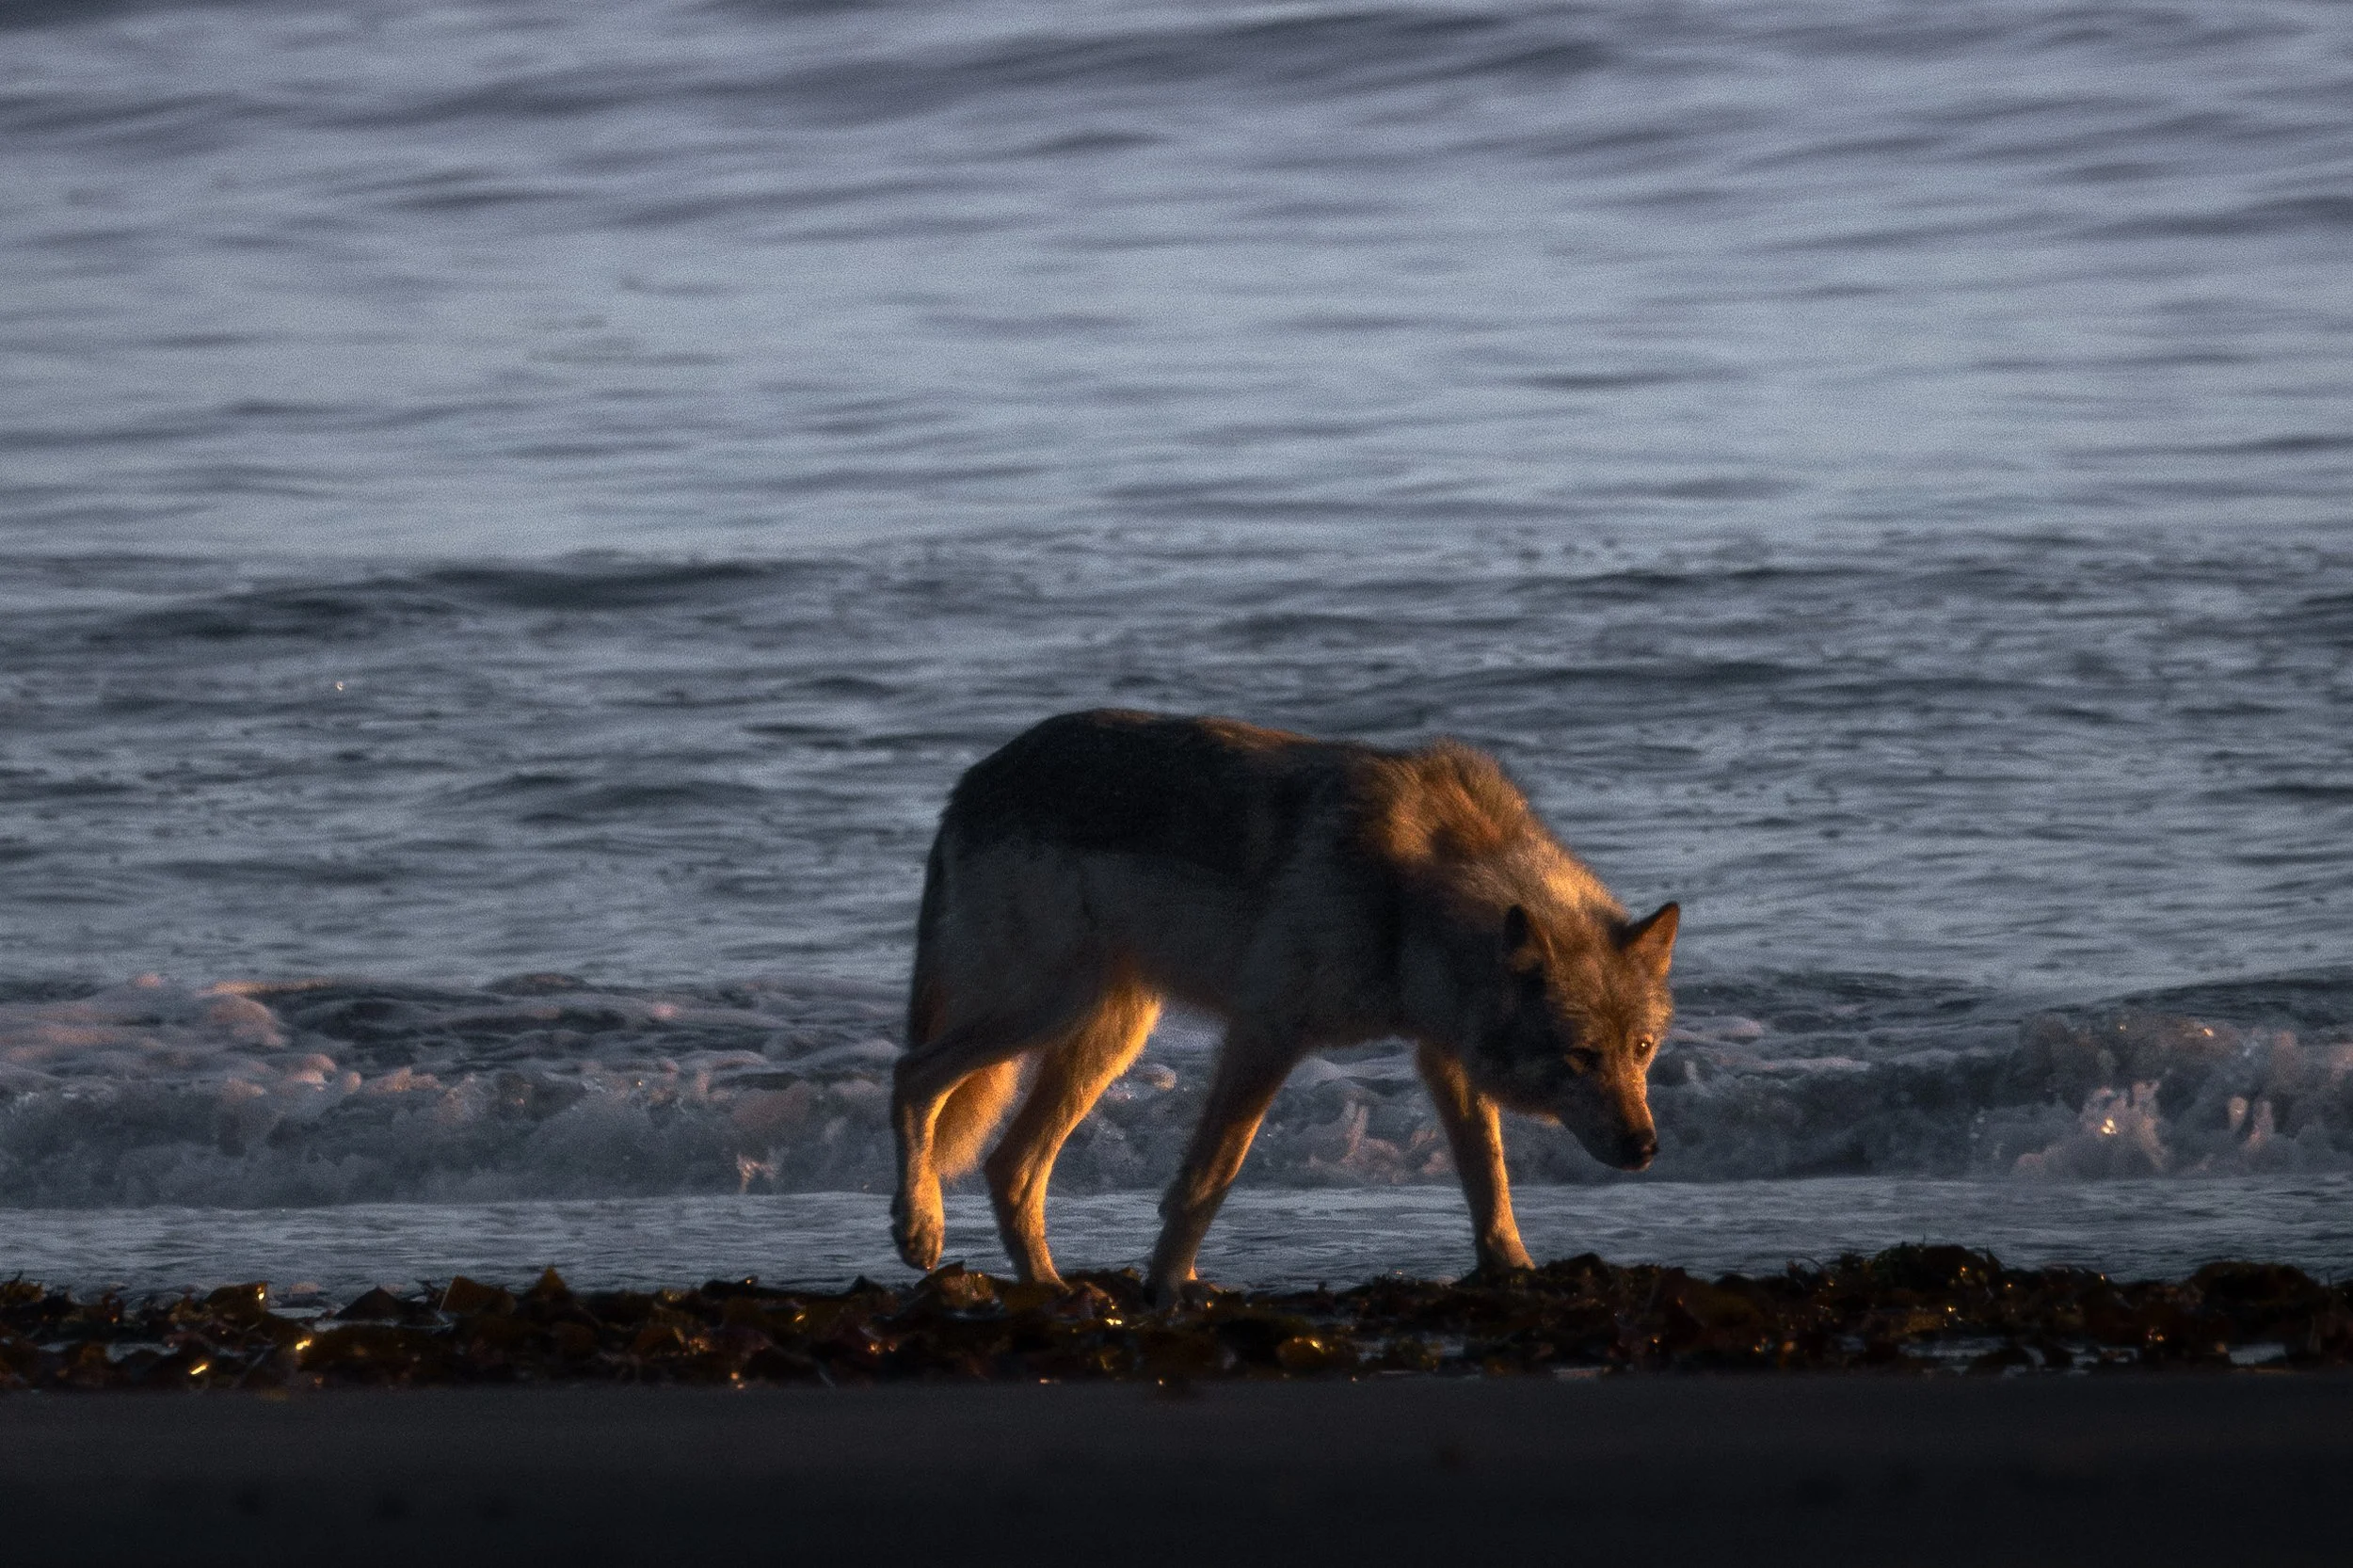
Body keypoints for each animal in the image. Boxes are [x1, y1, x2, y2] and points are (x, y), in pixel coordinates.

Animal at [889, 710, 1678, 1299]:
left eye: (1642, 1051)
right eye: (1582, 1056)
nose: (1647, 1147)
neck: (1417, 891)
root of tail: (971, 782)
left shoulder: (1442, 1056)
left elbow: (1490, 1178)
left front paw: (1514, 1270)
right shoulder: (1265, 1034)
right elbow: (1206, 1183)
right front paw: (1168, 1290)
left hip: (1105, 1039)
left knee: (1010, 1169)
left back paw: (1055, 1291)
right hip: (1050, 1010)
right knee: (914, 1076)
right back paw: (920, 1228)